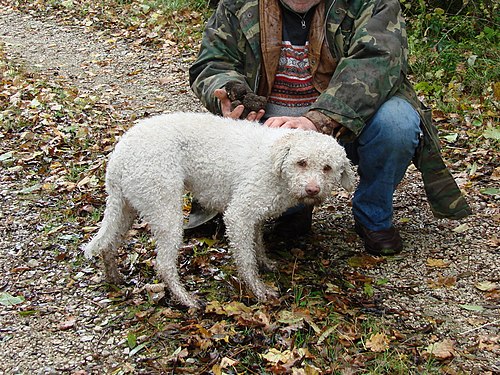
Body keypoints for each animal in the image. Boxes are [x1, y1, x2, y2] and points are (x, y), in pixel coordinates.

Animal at [83, 113, 356, 310]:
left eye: (327, 168)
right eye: (302, 163)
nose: (312, 189)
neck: (277, 162)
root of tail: (119, 154)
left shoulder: (254, 217)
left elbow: (257, 244)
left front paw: (266, 263)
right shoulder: (239, 215)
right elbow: (246, 260)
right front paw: (258, 289)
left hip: (125, 206)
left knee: (108, 244)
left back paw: (114, 277)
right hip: (164, 209)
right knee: (163, 264)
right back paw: (186, 299)